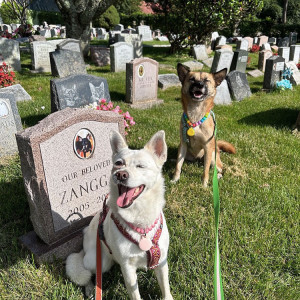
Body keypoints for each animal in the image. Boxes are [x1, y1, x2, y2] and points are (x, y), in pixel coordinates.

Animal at [65, 131, 173, 300]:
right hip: (99, 262)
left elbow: (165, 287)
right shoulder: (127, 268)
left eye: (140, 166)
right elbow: (135, 294)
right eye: (118, 163)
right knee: (88, 271)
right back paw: (90, 289)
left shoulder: (161, 260)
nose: (121, 174)